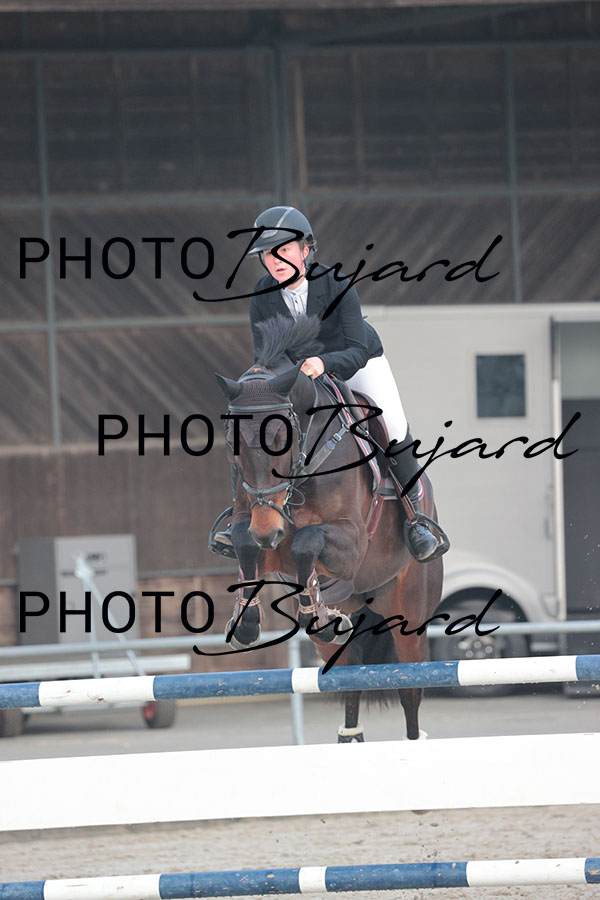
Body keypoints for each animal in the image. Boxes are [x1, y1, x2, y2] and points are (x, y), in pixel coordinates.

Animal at [215, 315, 444, 742]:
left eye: (281, 438)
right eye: (230, 444)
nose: (269, 530)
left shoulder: (350, 542)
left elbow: (306, 541)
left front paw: (312, 607)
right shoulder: (254, 524)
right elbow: (244, 542)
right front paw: (248, 623)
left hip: (410, 613)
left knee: (410, 690)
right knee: (349, 678)